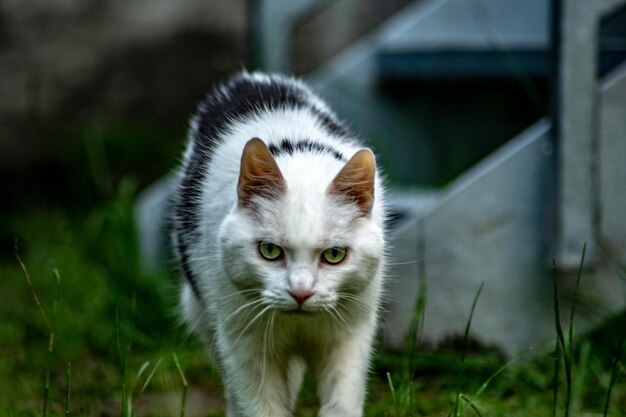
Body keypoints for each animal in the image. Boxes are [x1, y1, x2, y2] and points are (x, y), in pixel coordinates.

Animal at [172, 71, 386, 416]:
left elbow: (342, 402)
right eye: (269, 250)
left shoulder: (350, 336)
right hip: (201, 313)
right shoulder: (243, 343)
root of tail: (248, 79)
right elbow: (261, 406)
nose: (300, 293)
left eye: (334, 254)